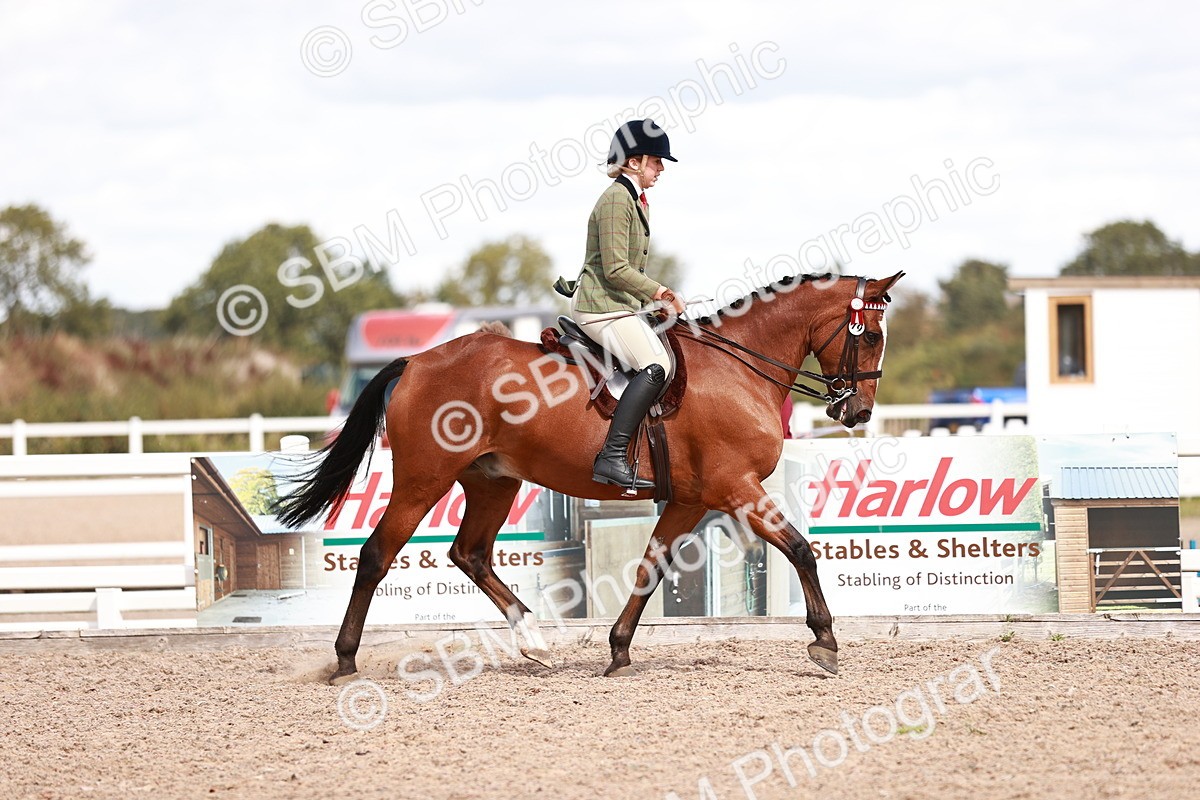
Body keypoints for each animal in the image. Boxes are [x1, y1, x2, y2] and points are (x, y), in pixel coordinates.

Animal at [275, 271, 904, 684]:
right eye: (871, 336)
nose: (859, 412)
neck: (740, 367)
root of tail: (419, 362)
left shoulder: (690, 500)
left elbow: (650, 569)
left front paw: (619, 651)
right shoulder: (736, 489)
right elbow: (800, 549)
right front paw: (825, 641)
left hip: (492, 480)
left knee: (470, 554)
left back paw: (534, 642)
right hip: (422, 480)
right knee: (376, 555)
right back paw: (346, 660)